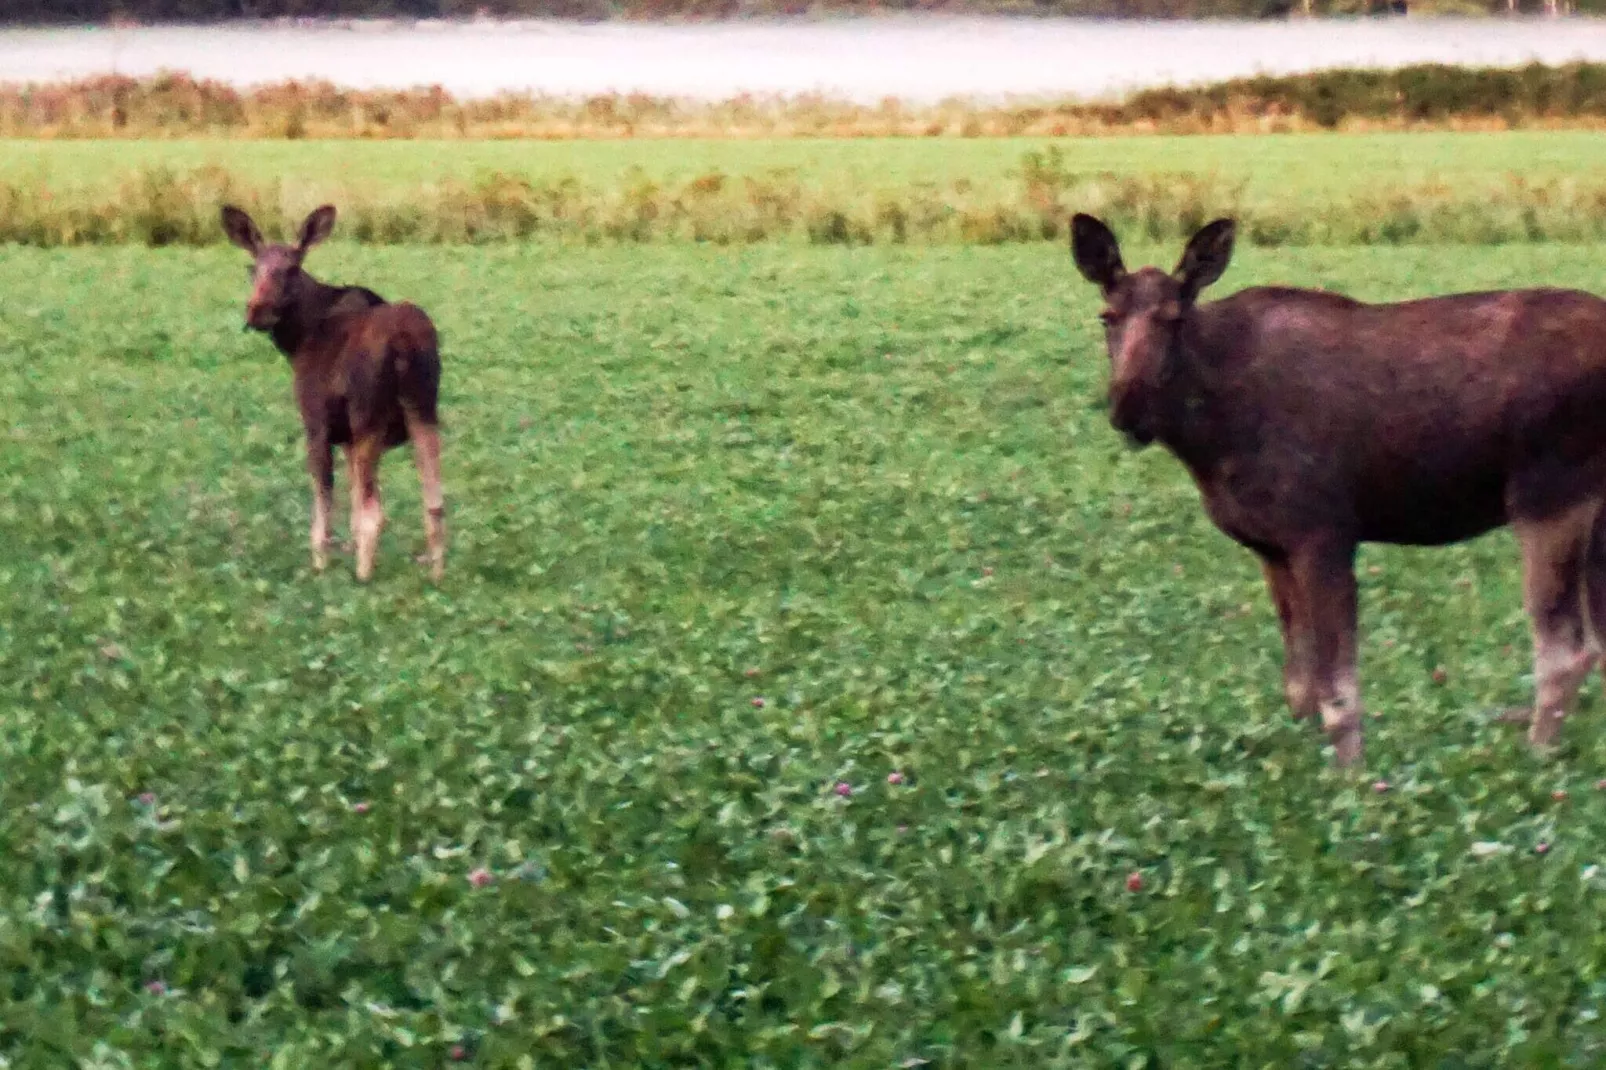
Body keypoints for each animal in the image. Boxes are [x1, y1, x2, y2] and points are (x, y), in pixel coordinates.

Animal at [221, 200, 446, 584]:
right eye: (253, 268)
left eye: (291, 268)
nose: (256, 311)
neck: (298, 339)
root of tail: (404, 342)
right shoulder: (348, 440)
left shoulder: (318, 424)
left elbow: (324, 509)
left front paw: (320, 567)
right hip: (423, 409)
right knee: (434, 501)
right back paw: (437, 574)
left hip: (368, 416)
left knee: (375, 512)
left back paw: (363, 578)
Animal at [1066, 215, 1606, 767]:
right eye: (1107, 316)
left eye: (1175, 320)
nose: (1127, 406)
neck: (1208, 439)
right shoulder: (1271, 547)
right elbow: (1299, 685)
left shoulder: (1322, 531)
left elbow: (1338, 690)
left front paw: (1351, 775)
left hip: (1549, 492)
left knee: (1567, 649)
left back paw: (1536, 757)